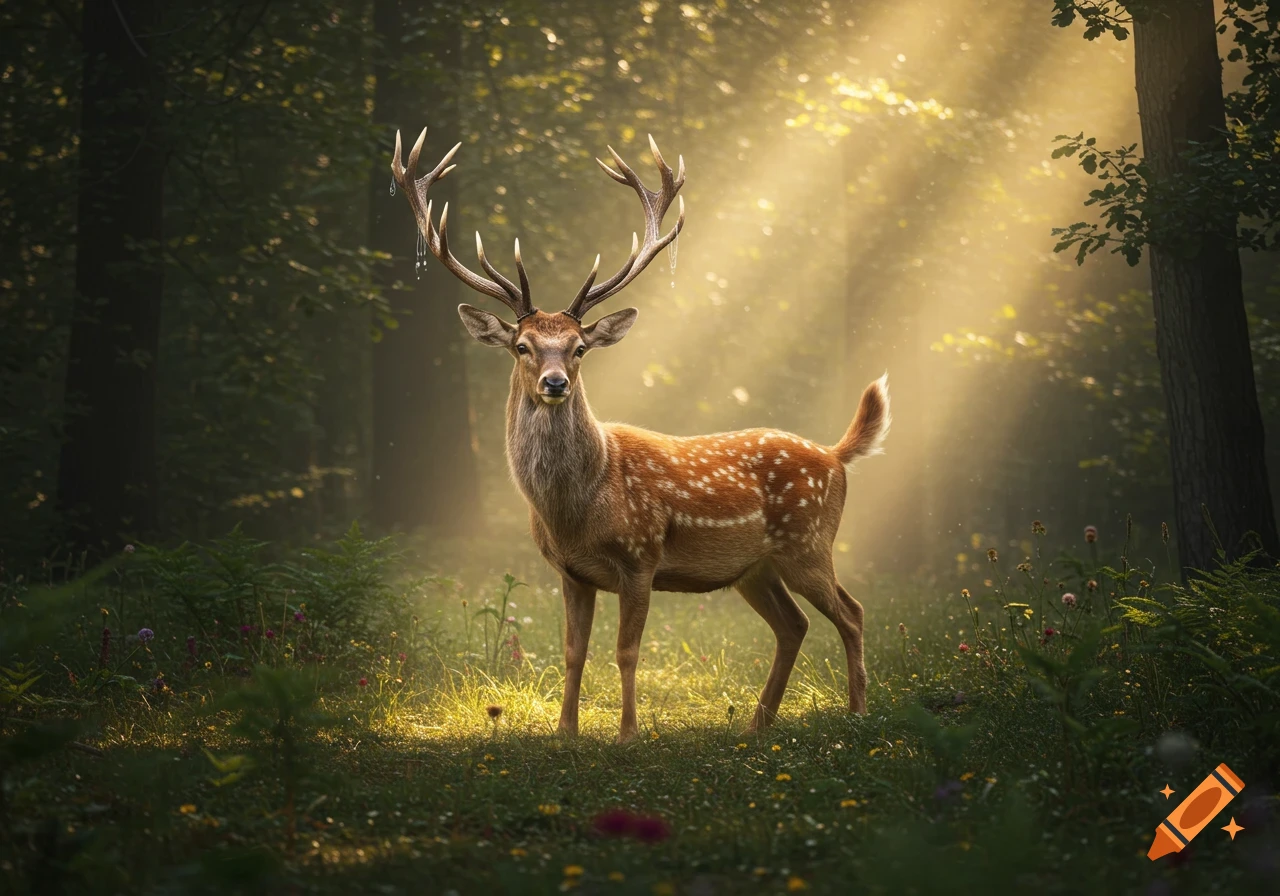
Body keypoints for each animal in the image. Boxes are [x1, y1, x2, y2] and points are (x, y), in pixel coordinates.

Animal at [391, 128, 890, 743]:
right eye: (522, 346)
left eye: (579, 347)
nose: (555, 383)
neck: (577, 509)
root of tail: (836, 454)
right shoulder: (571, 573)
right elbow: (573, 653)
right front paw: (565, 733)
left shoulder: (640, 558)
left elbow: (627, 652)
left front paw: (627, 734)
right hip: (756, 569)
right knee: (794, 625)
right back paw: (758, 723)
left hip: (809, 541)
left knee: (852, 612)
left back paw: (857, 711)